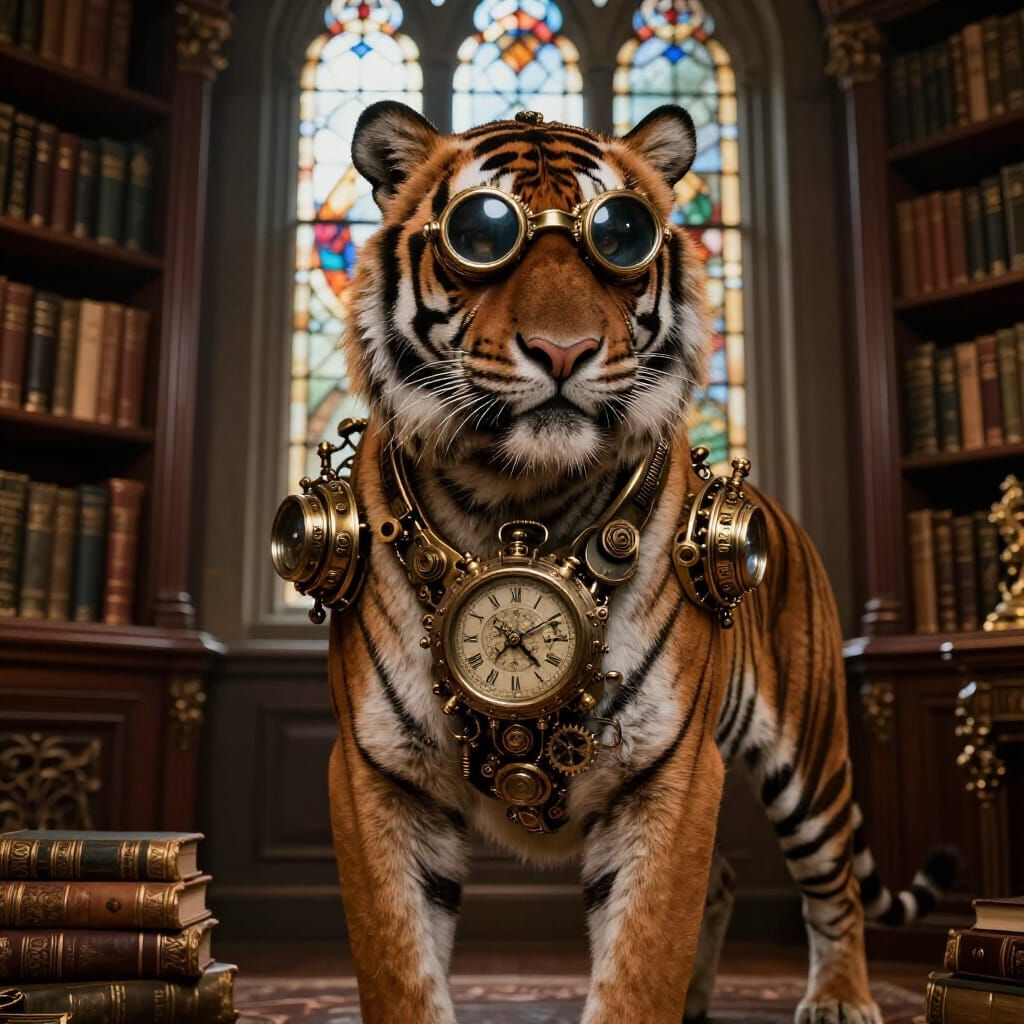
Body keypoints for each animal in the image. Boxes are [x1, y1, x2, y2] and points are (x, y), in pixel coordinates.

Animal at [324, 100, 956, 1024]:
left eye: (620, 236)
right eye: (481, 234)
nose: (563, 351)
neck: (515, 503)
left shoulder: (672, 771)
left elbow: (641, 961)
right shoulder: (379, 775)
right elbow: (401, 974)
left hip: (812, 757)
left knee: (833, 882)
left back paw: (840, 996)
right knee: (727, 877)